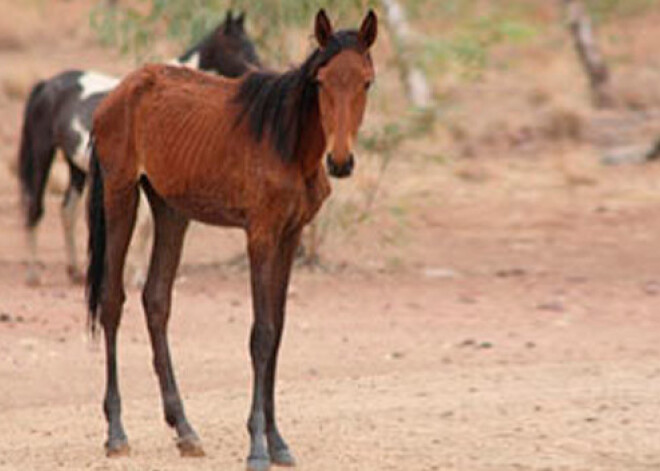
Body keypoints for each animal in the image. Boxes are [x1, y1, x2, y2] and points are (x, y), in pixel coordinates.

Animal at [15, 10, 258, 288]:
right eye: (236, 48)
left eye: (251, 44)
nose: (259, 70)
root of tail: (46, 84)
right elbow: (143, 226)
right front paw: (138, 276)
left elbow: (147, 226)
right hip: (42, 153)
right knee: (35, 208)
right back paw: (33, 274)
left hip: (76, 165)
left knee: (67, 210)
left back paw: (74, 272)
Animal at [85, 8, 378, 471]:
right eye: (321, 82)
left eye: (367, 81)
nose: (341, 161)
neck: (287, 143)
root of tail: (116, 95)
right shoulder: (259, 235)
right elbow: (261, 335)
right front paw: (258, 447)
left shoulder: (290, 236)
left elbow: (277, 332)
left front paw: (278, 442)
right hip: (121, 195)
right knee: (113, 301)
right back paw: (116, 433)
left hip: (170, 209)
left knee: (156, 300)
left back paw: (185, 430)